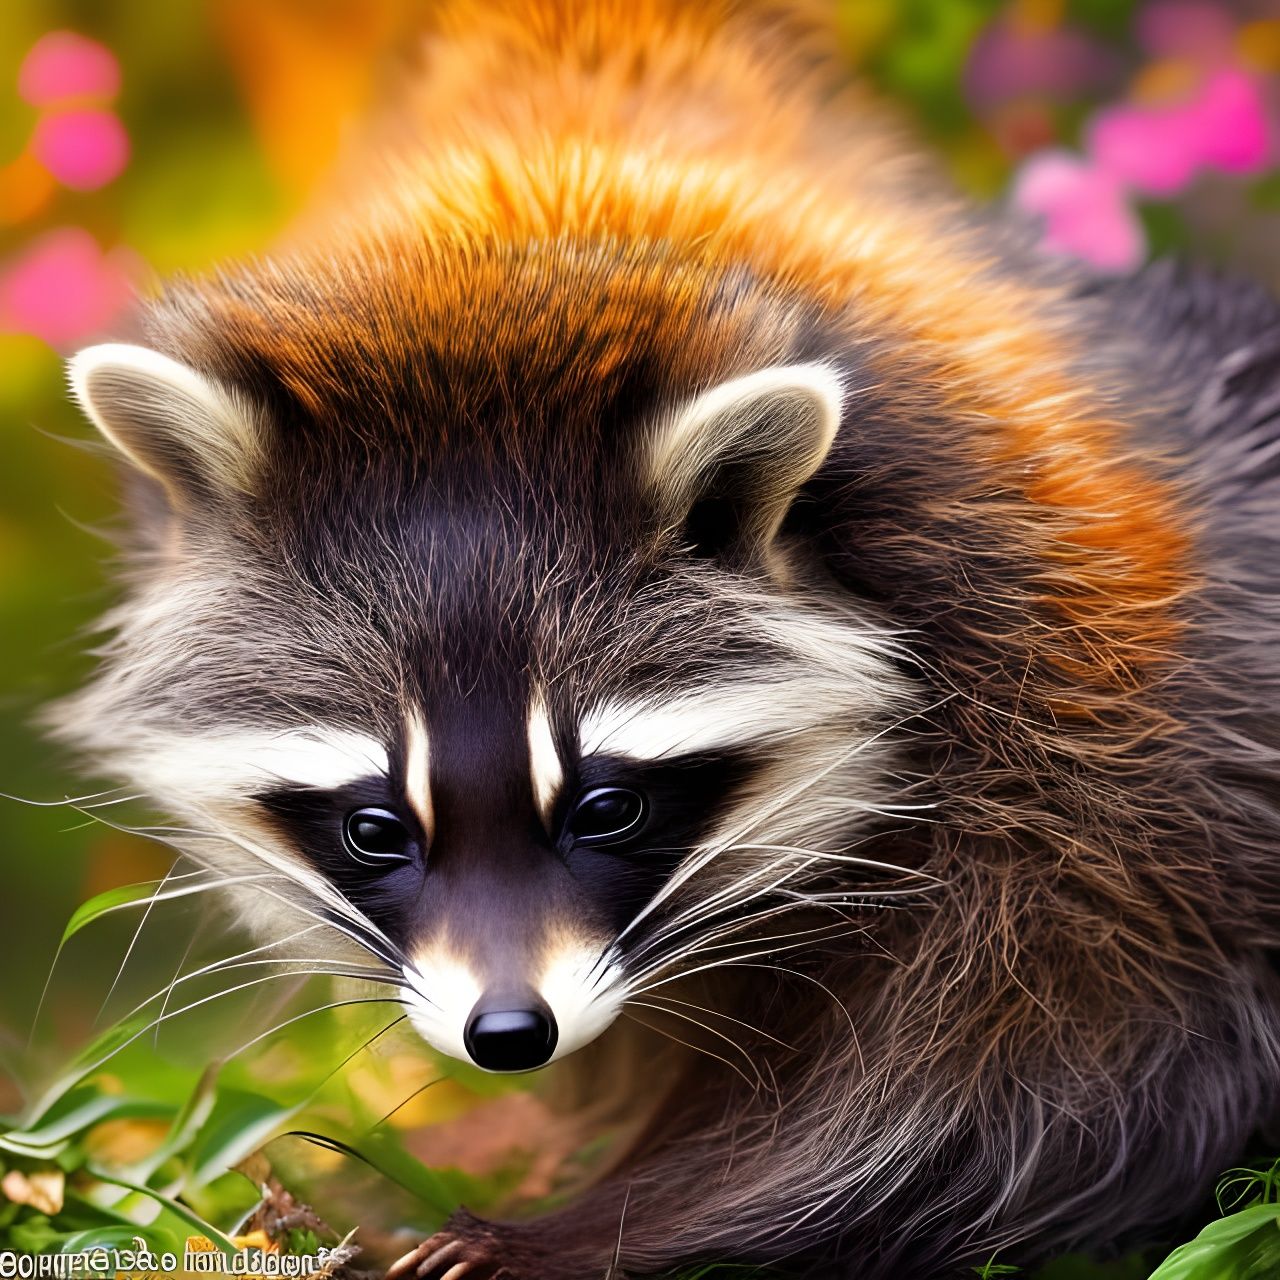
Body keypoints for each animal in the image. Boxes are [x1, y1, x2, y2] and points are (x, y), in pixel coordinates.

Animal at [50, 1, 1280, 1277]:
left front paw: (614, 1216)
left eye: (606, 807)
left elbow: (1032, 1070)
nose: (507, 1032)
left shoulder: (1082, 668)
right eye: (375, 826)